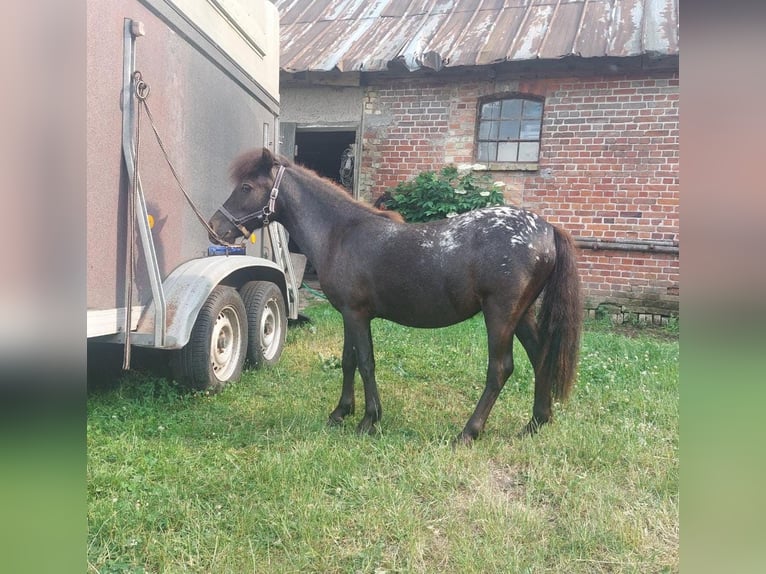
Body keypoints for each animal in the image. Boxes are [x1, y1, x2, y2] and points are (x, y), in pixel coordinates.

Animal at [210, 150, 584, 446]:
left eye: (246, 187)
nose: (216, 228)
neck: (341, 233)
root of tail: (547, 229)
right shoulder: (349, 314)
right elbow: (348, 361)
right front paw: (340, 412)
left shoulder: (357, 314)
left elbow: (366, 362)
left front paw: (368, 420)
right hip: (522, 315)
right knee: (540, 357)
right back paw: (536, 422)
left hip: (500, 315)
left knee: (500, 369)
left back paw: (468, 432)